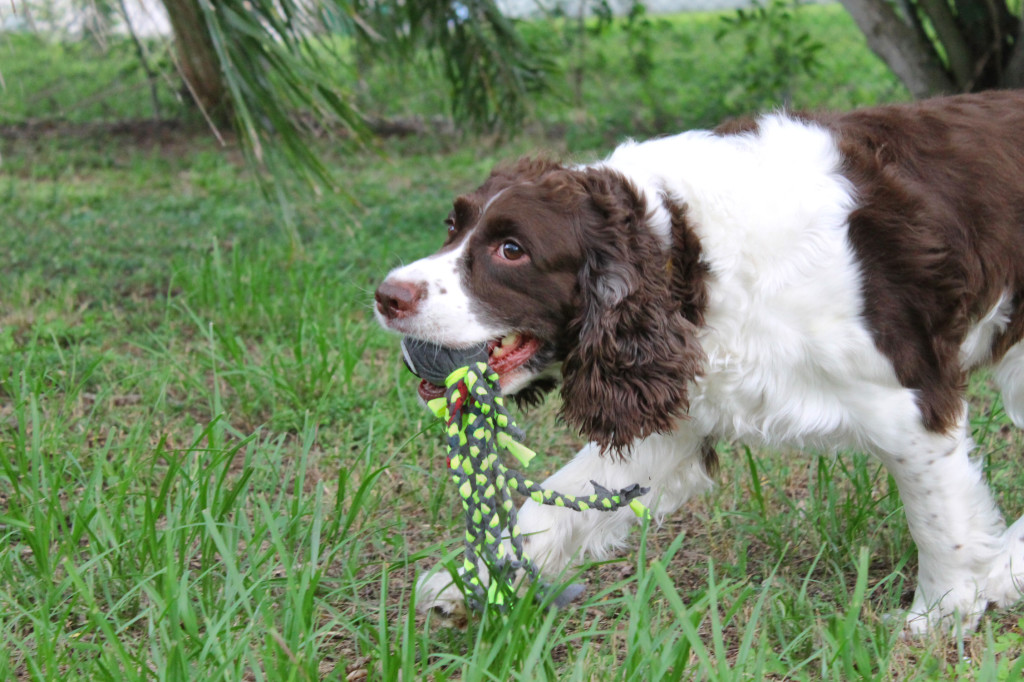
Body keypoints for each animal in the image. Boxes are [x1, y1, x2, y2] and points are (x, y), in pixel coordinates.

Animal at [376, 91, 1024, 630]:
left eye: (511, 250)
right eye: (452, 225)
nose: (388, 295)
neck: (686, 249)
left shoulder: (910, 404)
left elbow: (939, 523)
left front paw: (940, 614)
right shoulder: (669, 409)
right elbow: (549, 502)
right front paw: (469, 581)